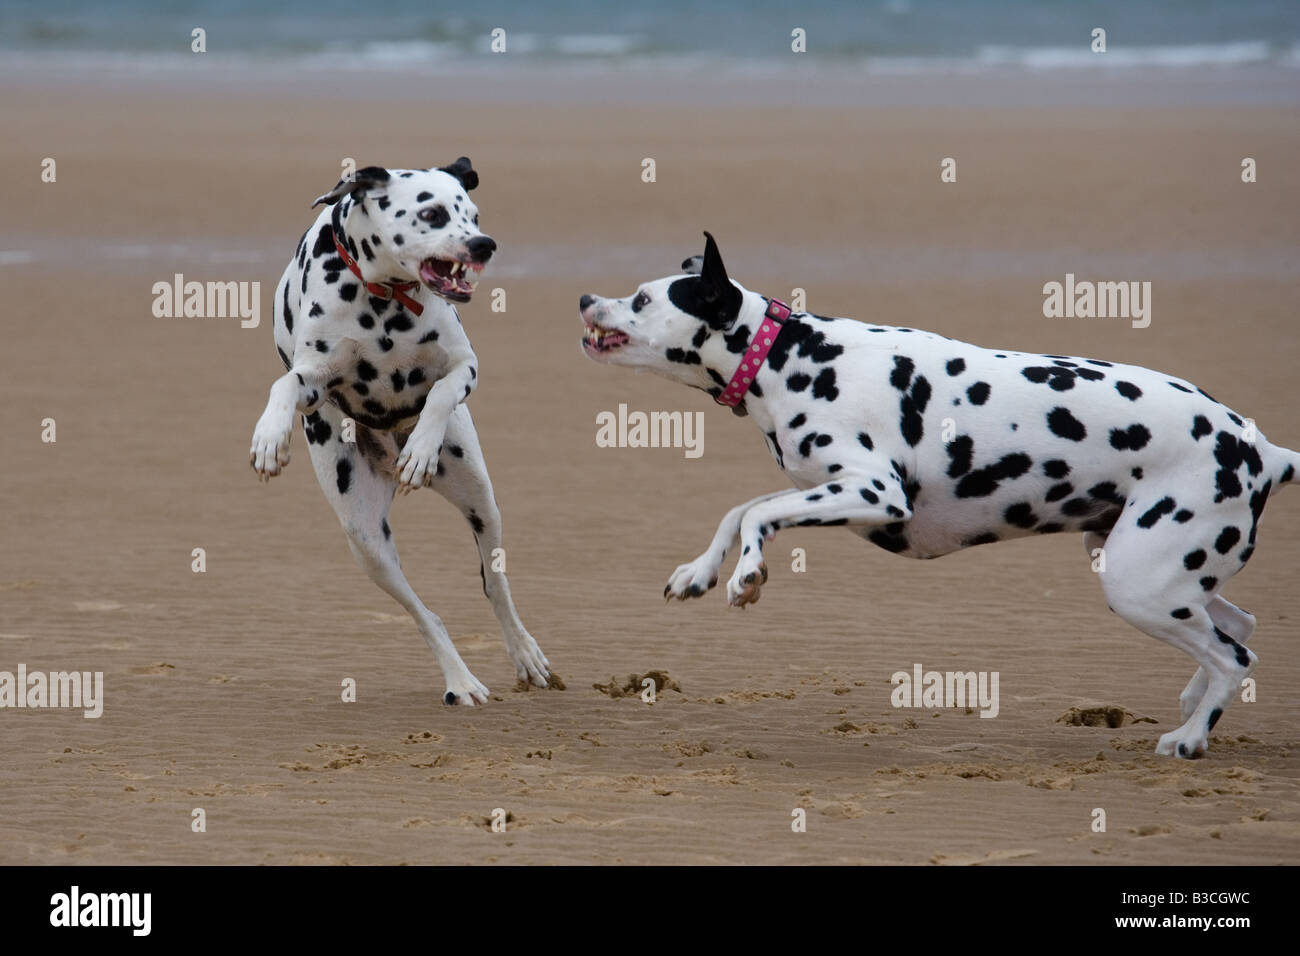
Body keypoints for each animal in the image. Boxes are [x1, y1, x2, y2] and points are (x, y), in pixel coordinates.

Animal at [248, 160, 548, 707]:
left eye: (474, 215)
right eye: (431, 214)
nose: (484, 244)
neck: (383, 299)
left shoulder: (464, 366)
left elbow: (441, 393)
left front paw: (421, 451)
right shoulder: (312, 377)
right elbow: (285, 383)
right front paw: (269, 438)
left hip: (481, 502)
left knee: (495, 585)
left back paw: (524, 654)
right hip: (367, 543)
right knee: (425, 615)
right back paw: (460, 681)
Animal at [582, 231, 1300, 754]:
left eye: (642, 299)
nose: (586, 297)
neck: (792, 355)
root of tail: (1261, 449)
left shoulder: (873, 492)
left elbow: (757, 513)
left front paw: (748, 574)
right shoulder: (830, 490)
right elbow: (737, 509)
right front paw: (699, 572)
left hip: (1139, 583)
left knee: (1233, 654)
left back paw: (1189, 737)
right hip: (1156, 569)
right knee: (1239, 627)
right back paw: (1193, 705)